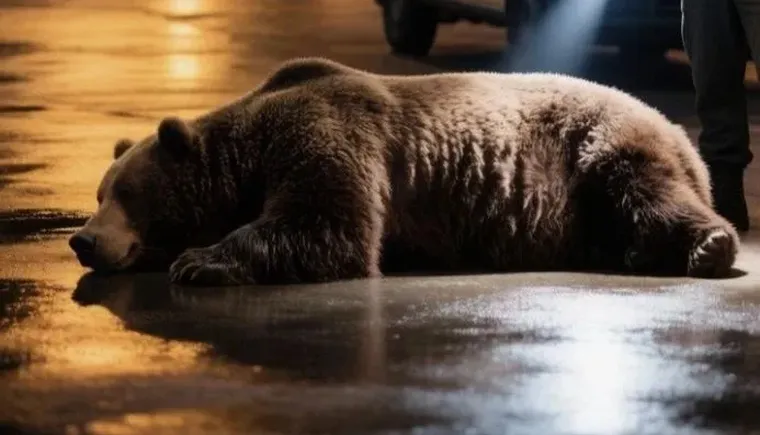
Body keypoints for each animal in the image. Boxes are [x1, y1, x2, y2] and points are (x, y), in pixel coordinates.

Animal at [68, 57, 740, 287]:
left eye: (125, 193)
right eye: (98, 192)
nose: (82, 240)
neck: (247, 155)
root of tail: (678, 127)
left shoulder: (327, 132)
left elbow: (328, 224)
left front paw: (200, 260)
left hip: (593, 149)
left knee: (645, 189)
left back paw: (709, 245)